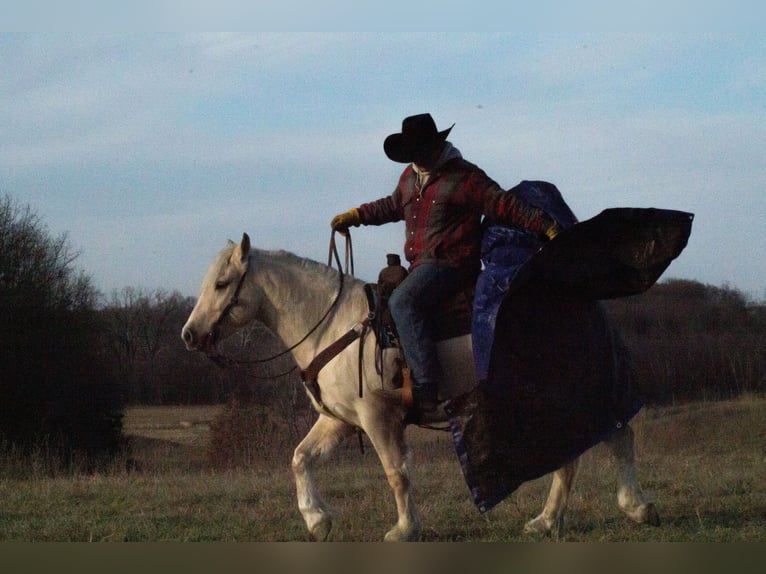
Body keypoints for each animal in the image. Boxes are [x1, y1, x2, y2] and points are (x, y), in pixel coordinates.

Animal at [182, 232, 660, 544]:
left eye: (222, 284)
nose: (189, 335)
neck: (333, 327)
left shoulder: (378, 418)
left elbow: (397, 472)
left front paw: (404, 529)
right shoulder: (338, 421)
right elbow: (301, 458)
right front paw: (317, 520)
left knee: (620, 438)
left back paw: (636, 507)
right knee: (570, 458)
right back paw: (547, 521)